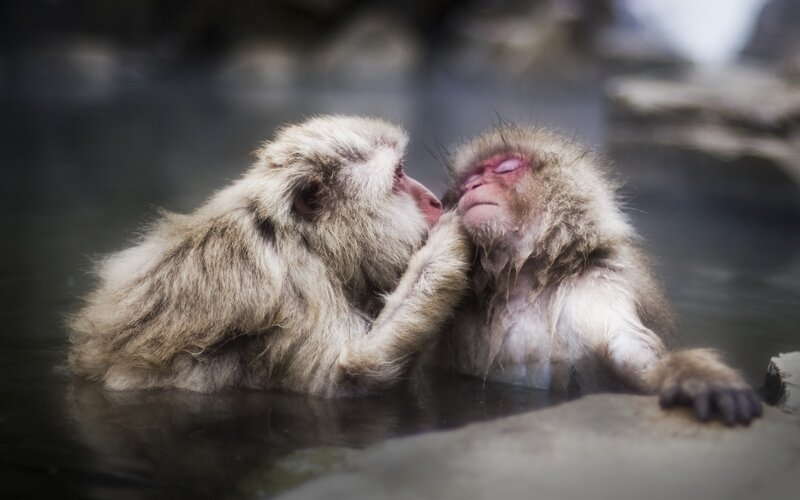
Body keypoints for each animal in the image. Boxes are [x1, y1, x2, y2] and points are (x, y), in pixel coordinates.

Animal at [69, 115, 471, 398]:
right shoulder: (297, 291)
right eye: (399, 175)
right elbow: (347, 375)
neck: (306, 241)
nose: (434, 201)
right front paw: (448, 241)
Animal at [437, 125, 762, 425]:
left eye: (506, 167)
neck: (525, 280)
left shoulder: (599, 282)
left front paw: (695, 375)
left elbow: (629, 346)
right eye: (465, 183)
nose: (472, 186)